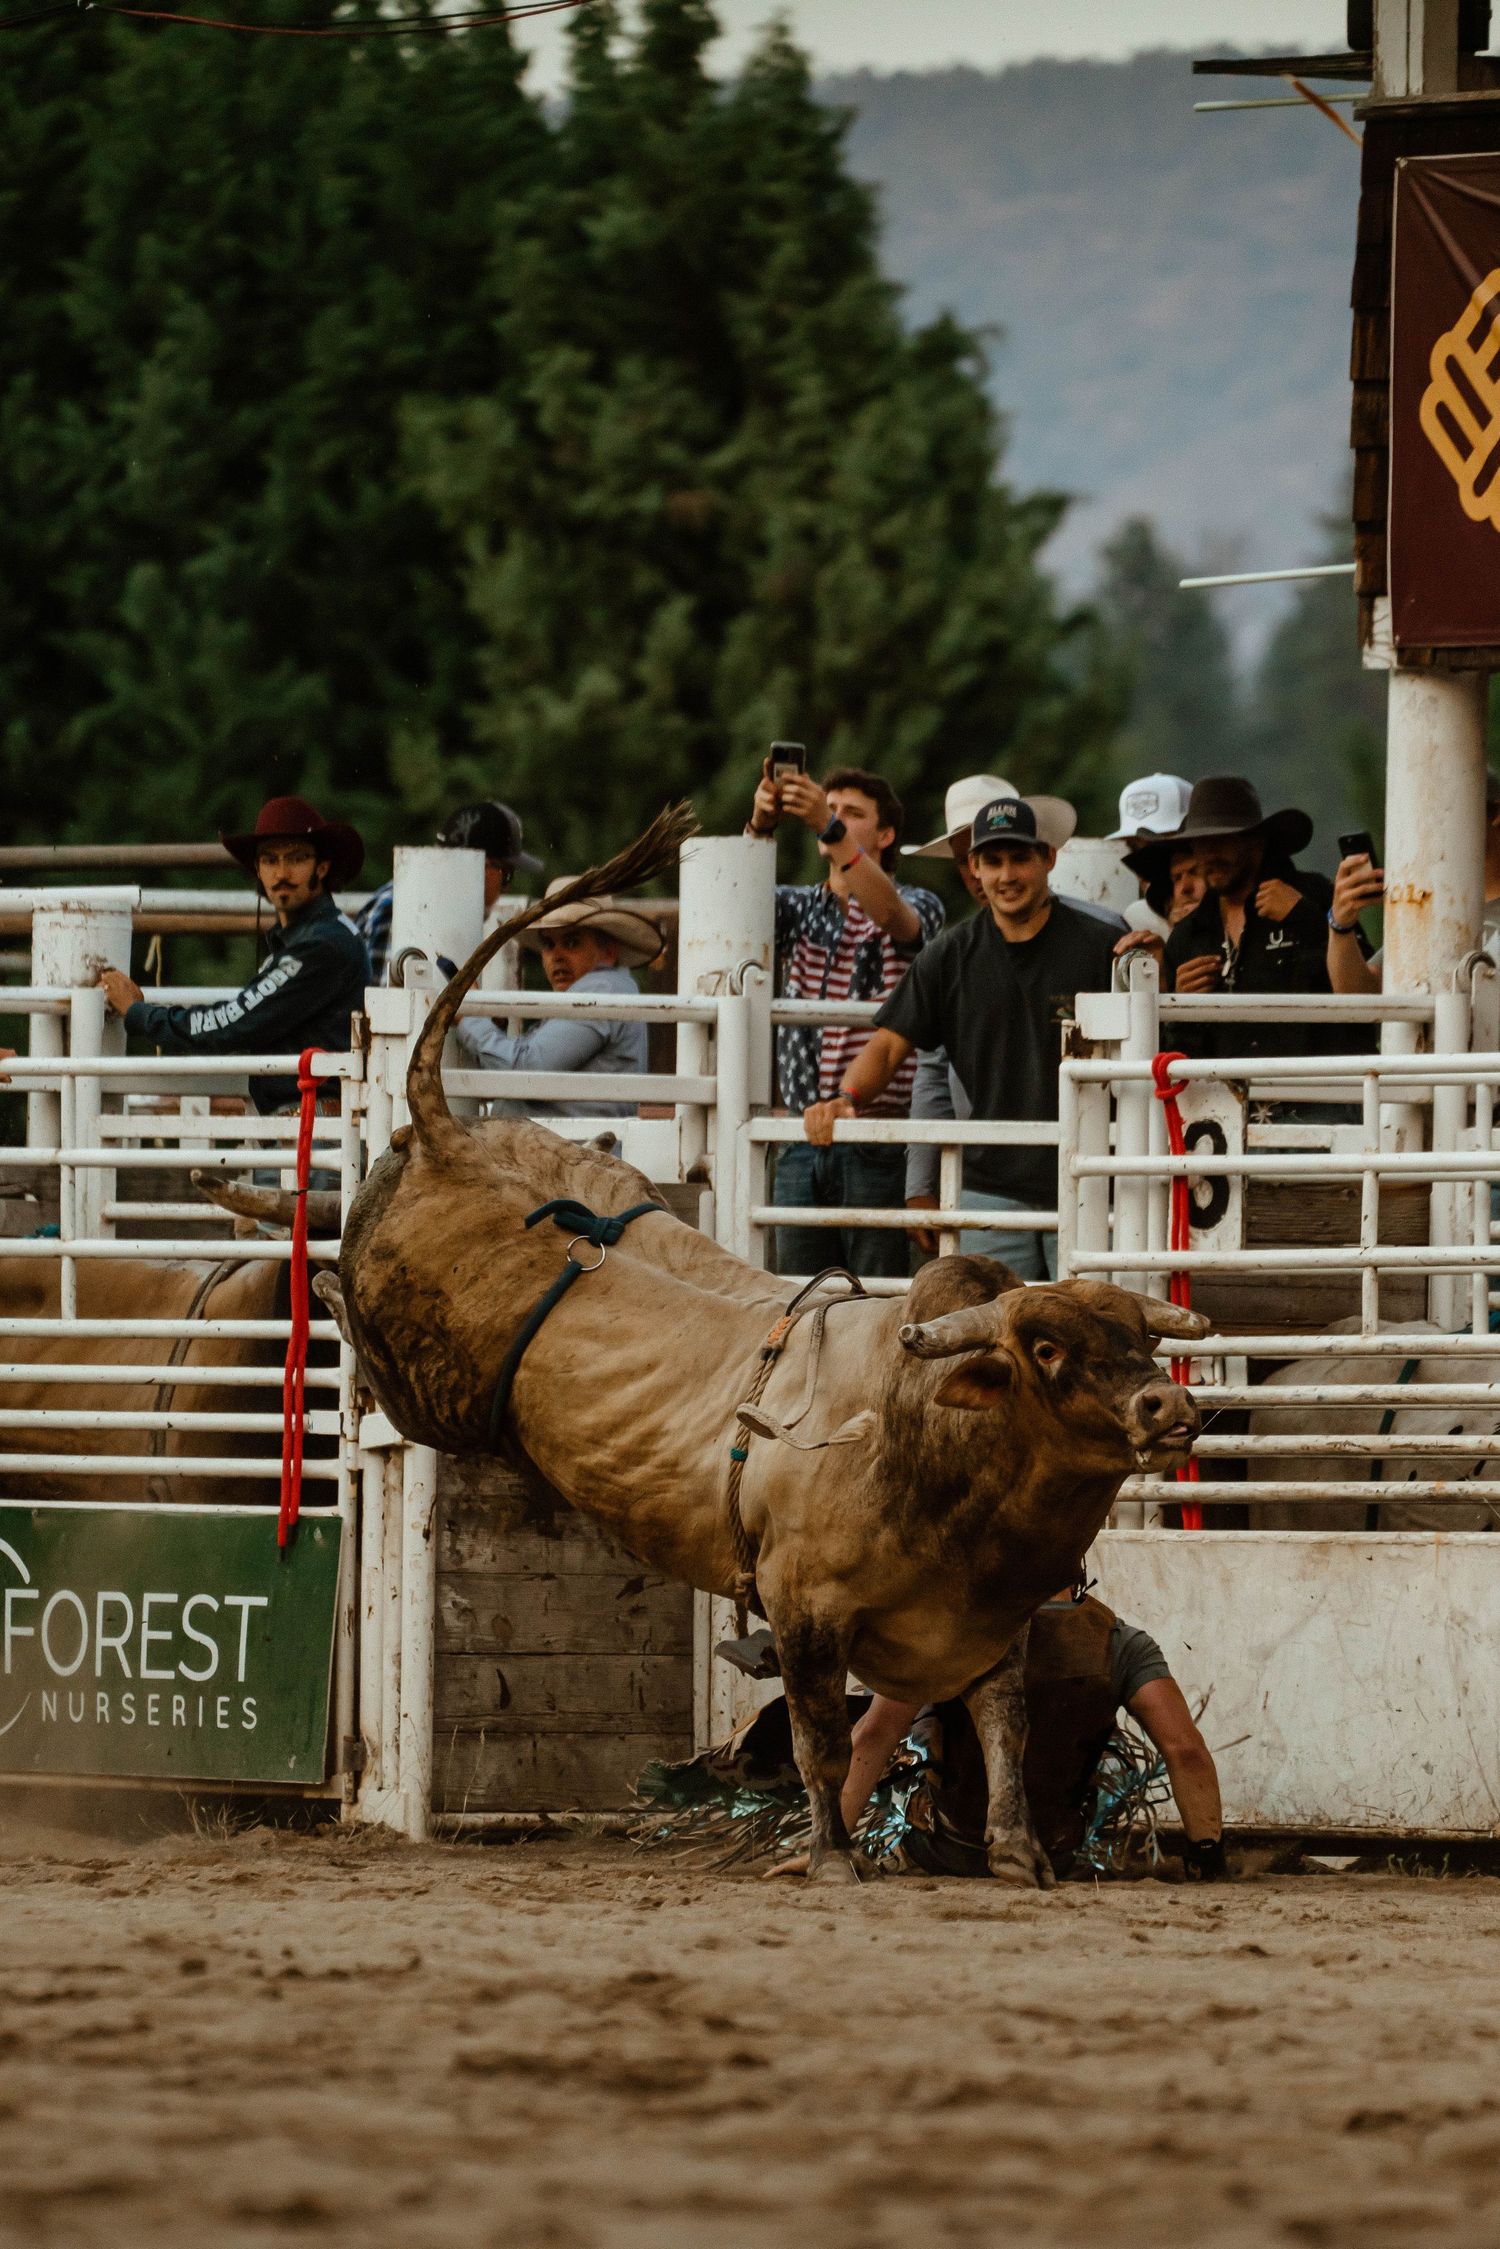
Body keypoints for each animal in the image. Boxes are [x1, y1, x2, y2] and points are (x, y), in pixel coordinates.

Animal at [325, 808, 1208, 1885]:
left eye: (1136, 1338)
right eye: (1043, 1349)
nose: (1165, 1403)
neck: (927, 1435)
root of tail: (452, 1141)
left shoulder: (990, 1625)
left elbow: (1004, 1723)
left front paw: (1016, 1851)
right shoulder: (806, 1613)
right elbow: (822, 1740)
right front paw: (830, 1856)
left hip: (582, 1192)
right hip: (424, 1369)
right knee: (369, 1339)